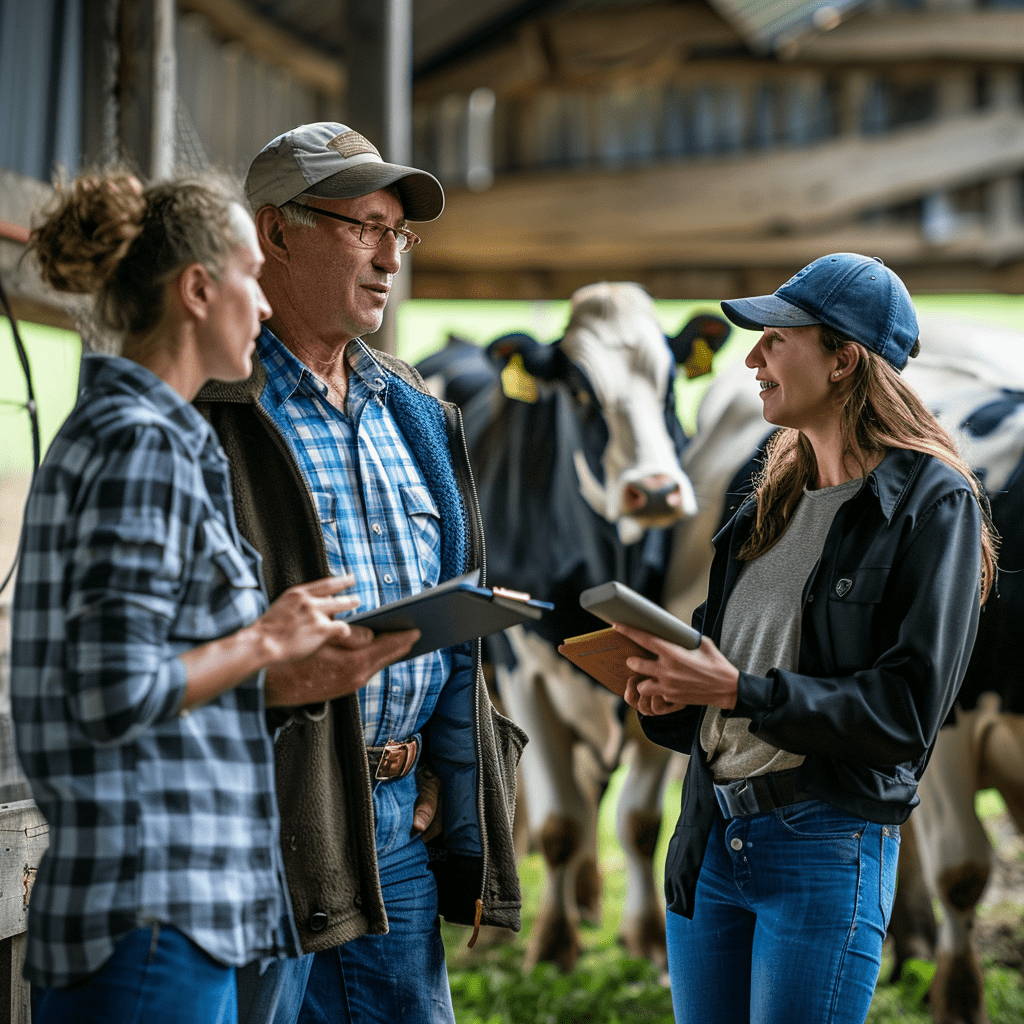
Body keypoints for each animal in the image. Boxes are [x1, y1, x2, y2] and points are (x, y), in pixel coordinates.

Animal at [411, 284, 733, 970]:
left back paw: (586, 895)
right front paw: (553, 944)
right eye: (582, 392)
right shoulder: (523, 671)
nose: (656, 492)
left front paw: (647, 939)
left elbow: (638, 822)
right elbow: (558, 822)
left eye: (669, 385)